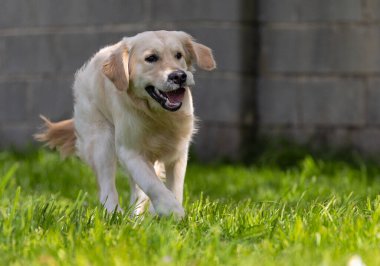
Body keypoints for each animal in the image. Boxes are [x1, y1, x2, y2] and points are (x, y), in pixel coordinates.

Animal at [35, 30, 215, 218]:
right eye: (151, 58)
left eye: (178, 55)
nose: (179, 76)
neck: (157, 116)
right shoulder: (130, 152)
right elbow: (153, 184)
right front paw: (172, 210)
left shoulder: (178, 151)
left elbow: (174, 187)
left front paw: (167, 212)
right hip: (101, 142)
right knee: (107, 187)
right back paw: (113, 214)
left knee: (138, 193)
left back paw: (137, 218)